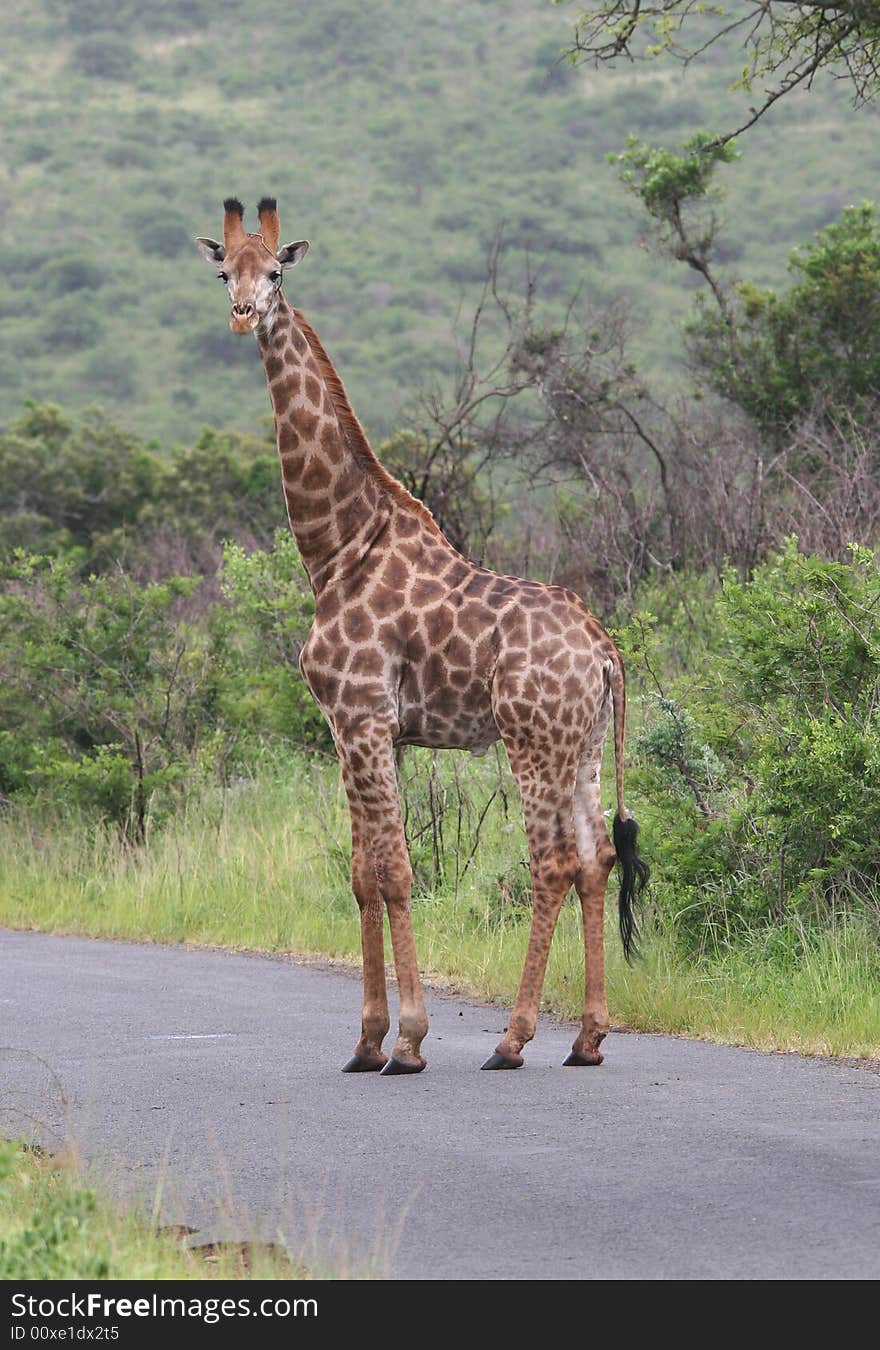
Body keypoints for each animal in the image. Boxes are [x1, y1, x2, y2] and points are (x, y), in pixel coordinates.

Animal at [197, 197, 645, 1074]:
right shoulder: (353, 729)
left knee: (552, 862)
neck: (338, 548)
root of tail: (603, 648)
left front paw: (406, 1040)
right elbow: (364, 875)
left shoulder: (363, 717)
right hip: (580, 748)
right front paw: (366, 1039)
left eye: (276, 275)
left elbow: (398, 872)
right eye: (223, 270)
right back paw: (588, 1038)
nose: (242, 314)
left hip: (531, 739)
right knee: (597, 859)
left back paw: (512, 1038)